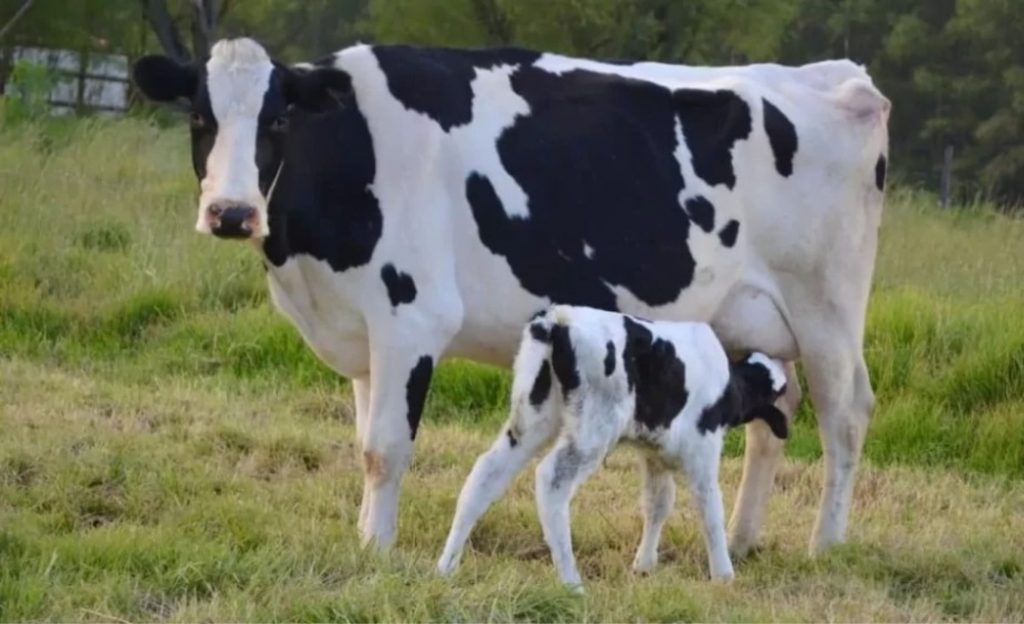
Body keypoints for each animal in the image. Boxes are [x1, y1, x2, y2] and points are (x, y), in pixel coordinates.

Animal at [134, 38, 888, 553]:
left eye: (277, 122)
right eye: (200, 118)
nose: (232, 212)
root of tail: (832, 75)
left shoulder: (413, 317)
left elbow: (386, 446)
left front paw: (377, 549)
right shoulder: (362, 327)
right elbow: (363, 441)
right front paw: (364, 534)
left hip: (827, 312)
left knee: (844, 415)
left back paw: (825, 545)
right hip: (753, 319)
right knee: (773, 410)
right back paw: (742, 537)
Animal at [436, 303, 786, 586]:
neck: (729, 384)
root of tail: (556, 320)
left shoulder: (654, 453)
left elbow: (659, 503)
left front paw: (644, 566)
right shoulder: (703, 449)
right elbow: (710, 507)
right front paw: (724, 575)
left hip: (532, 418)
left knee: (487, 472)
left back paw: (446, 567)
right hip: (593, 427)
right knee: (551, 479)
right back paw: (571, 582)